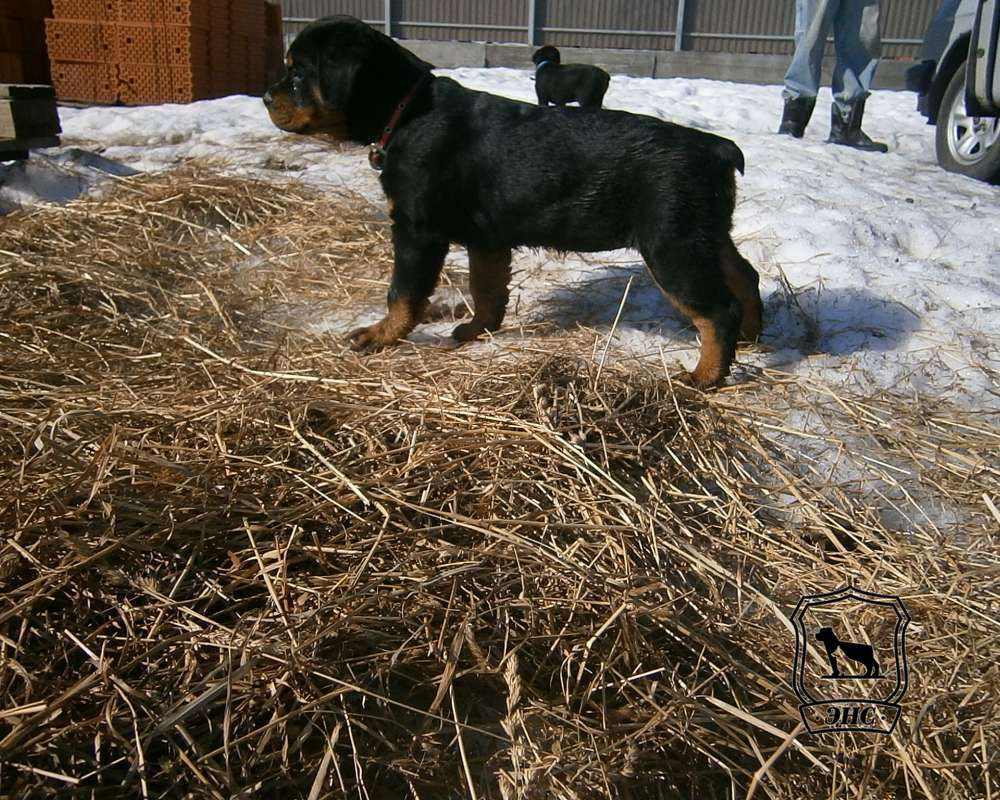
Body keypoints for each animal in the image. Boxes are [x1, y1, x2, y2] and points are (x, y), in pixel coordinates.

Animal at [262, 16, 760, 390]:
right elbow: (486, 289)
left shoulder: (417, 231)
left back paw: (705, 377)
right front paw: (475, 332)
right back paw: (752, 336)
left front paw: (380, 336)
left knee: (717, 310)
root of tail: (717, 148)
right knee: (744, 275)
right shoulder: (487, 239)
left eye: (298, 74)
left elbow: (403, 292)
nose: (266, 96)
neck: (406, 112)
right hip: (703, 232)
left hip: (672, 244)